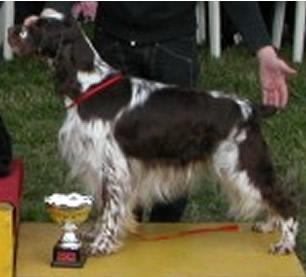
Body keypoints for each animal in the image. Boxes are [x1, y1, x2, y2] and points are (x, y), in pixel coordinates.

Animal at [7, 12, 298, 254]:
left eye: (37, 27)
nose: (11, 29)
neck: (89, 85)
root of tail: (250, 107)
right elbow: (105, 206)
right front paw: (93, 234)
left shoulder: (112, 166)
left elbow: (110, 208)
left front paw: (102, 245)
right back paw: (269, 226)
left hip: (242, 165)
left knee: (283, 199)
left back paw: (284, 243)